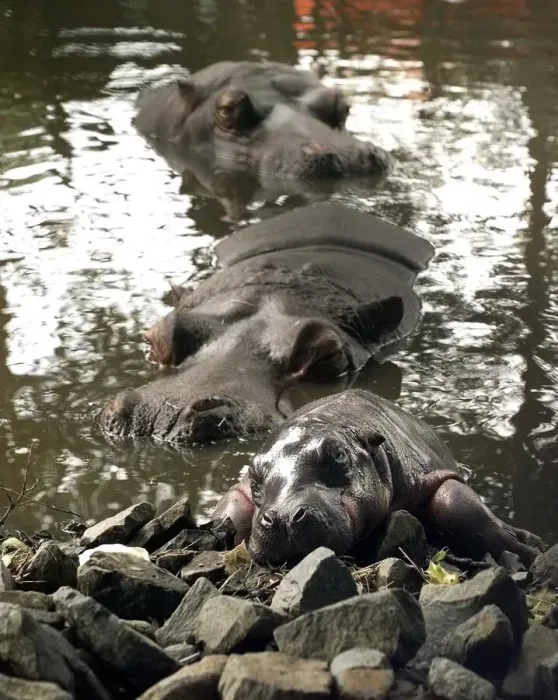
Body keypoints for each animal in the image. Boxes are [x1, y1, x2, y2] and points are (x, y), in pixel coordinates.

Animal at [212, 389, 541, 567]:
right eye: (254, 473)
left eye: (338, 454)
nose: (281, 517)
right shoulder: (240, 491)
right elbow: (231, 508)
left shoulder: (431, 476)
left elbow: (459, 507)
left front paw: (531, 547)